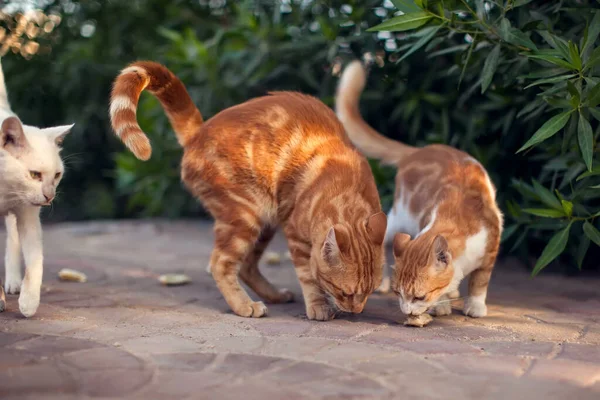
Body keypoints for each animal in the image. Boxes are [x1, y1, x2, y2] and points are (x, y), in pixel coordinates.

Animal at [0, 58, 74, 316]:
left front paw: (29, 302)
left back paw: (12, 282)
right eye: (34, 174)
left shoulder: (28, 215)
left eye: (57, 175)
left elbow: (35, 260)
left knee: (12, 239)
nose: (49, 196)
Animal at [109, 61, 386, 320]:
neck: (347, 187)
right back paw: (245, 306)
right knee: (220, 264)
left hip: (264, 222)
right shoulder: (295, 232)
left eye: (370, 292)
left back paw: (274, 295)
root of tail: (200, 130)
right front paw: (318, 305)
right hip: (245, 215)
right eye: (345, 292)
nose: (357, 310)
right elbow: (308, 275)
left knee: (246, 266)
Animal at [338, 61, 502, 318]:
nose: (406, 311)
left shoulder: (490, 248)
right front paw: (442, 304)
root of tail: (419, 150)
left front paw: (474, 305)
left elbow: (479, 282)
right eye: (398, 293)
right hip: (398, 220)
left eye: (419, 296)